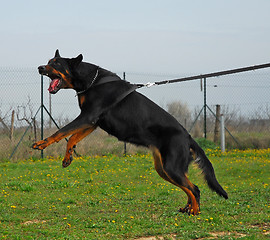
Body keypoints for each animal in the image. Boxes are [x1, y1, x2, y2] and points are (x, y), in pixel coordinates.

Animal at [33, 49, 228, 215]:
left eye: (56, 64)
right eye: (49, 62)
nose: (40, 67)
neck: (91, 81)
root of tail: (188, 137)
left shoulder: (87, 117)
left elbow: (62, 132)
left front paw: (42, 143)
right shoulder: (92, 122)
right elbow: (72, 137)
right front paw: (68, 157)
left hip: (171, 168)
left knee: (195, 188)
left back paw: (195, 211)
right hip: (164, 169)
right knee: (189, 188)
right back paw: (188, 208)